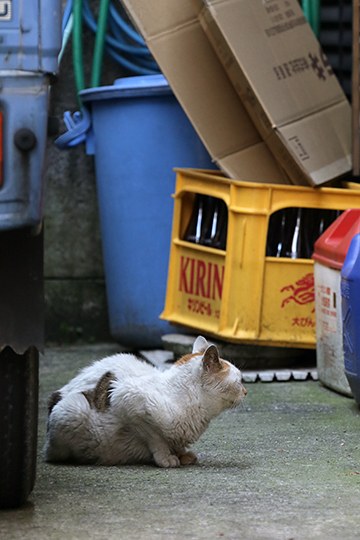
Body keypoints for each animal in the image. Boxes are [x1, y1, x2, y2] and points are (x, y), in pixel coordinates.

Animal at [44, 336, 248, 466]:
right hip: (73, 411)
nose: (246, 392)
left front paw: (182, 454)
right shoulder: (128, 400)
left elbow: (176, 443)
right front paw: (166, 457)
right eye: (239, 380)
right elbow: (155, 437)